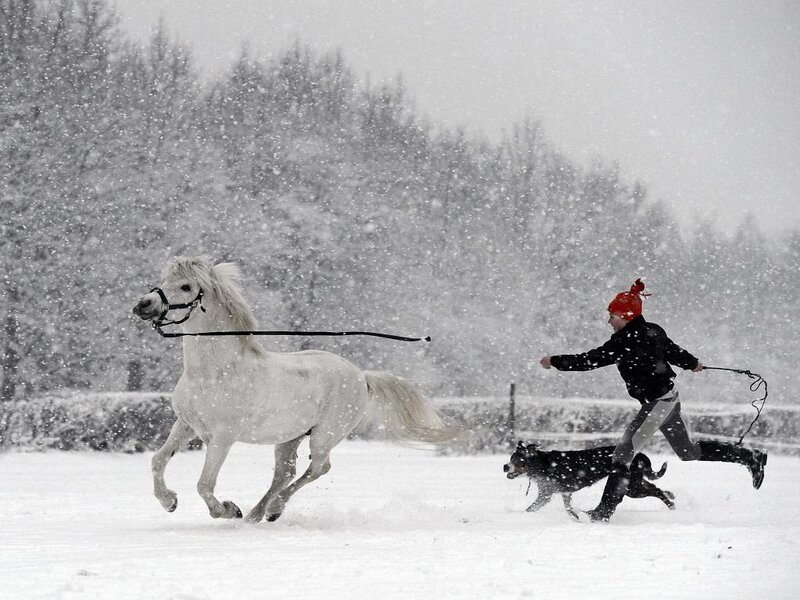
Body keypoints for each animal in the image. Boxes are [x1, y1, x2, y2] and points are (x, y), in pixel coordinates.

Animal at [132, 255, 462, 522]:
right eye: (164, 280)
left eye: (186, 286)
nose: (143, 305)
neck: (214, 373)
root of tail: (361, 376)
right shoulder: (186, 424)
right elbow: (158, 460)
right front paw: (169, 502)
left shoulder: (223, 438)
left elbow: (204, 485)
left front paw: (227, 509)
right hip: (289, 437)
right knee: (285, 472)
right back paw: (257, 514)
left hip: (324, 436)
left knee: (318, 469)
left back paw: (272, 509)